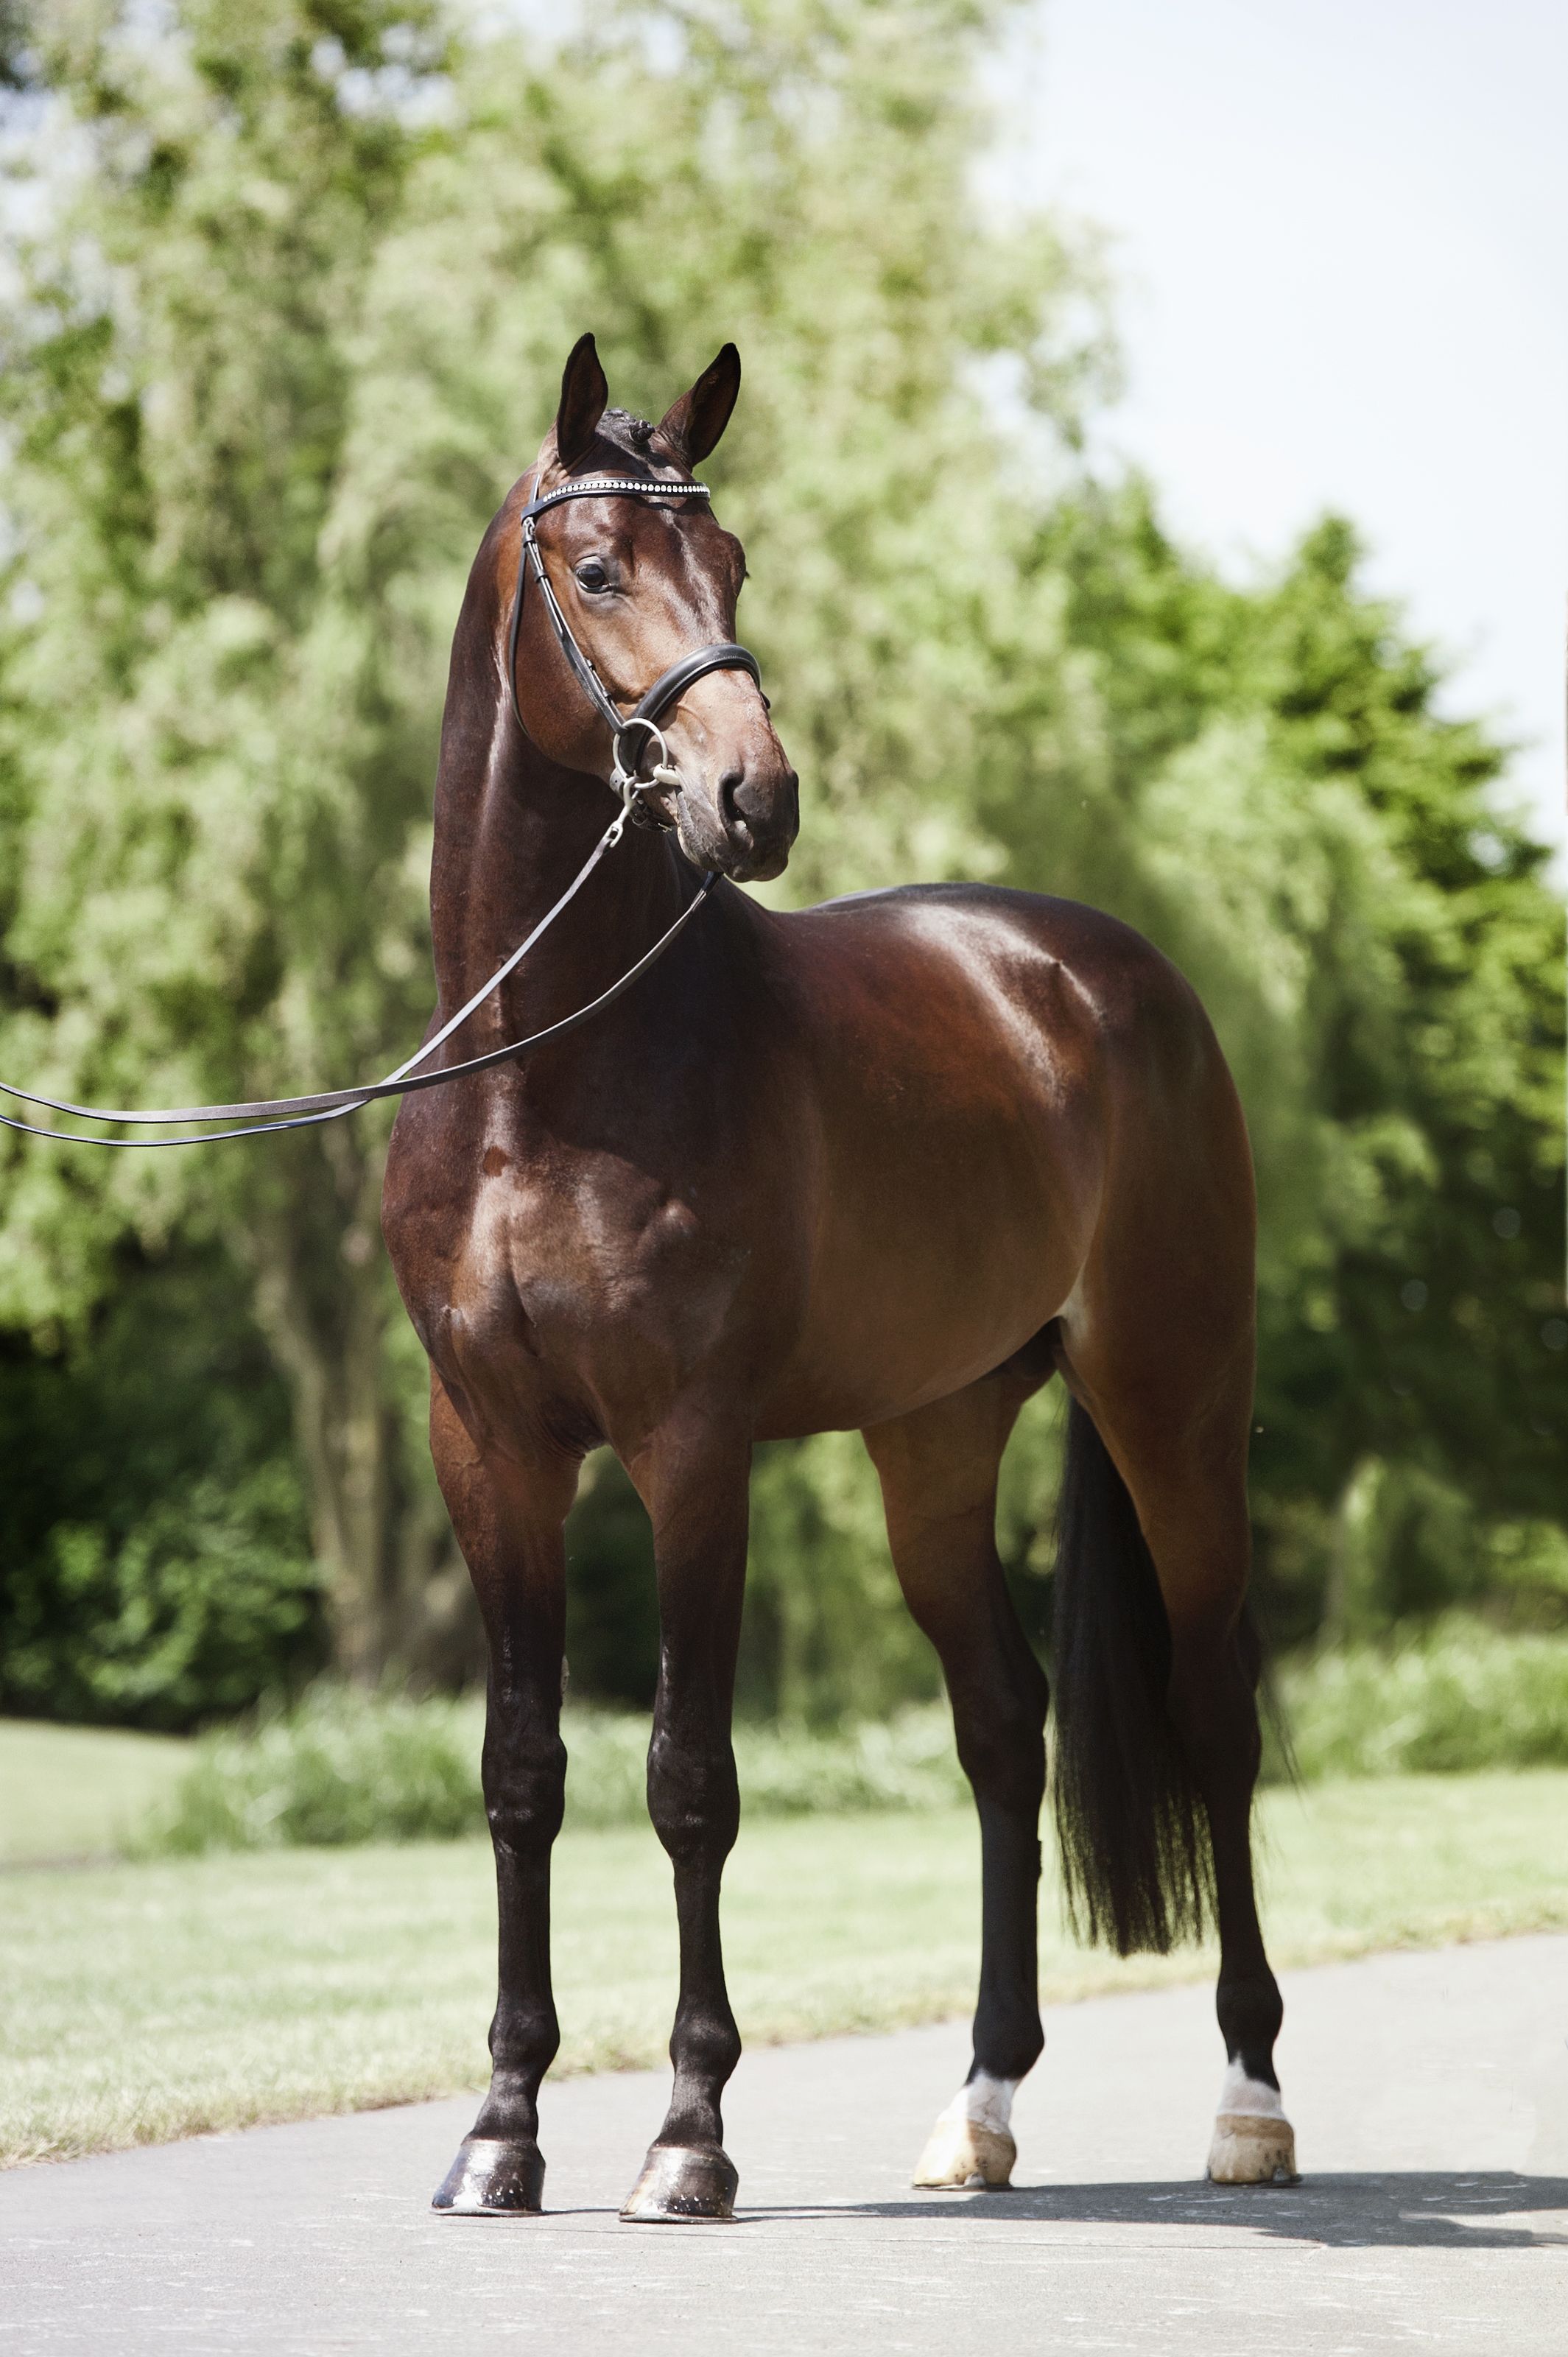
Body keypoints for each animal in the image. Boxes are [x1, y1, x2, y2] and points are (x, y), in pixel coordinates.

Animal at [381, 332, 1296, 2223]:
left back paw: (1248, 2104)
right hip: (933, 1444)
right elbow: (520, 1776)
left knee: (1212, 1712)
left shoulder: (688, 1447)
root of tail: (1114, 976)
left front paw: (684, 2134)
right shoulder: (487, 1446)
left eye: (730, 564)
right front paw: (500, 2133)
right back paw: (981, 2110)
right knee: (1004, 1730)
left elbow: (688, 1780)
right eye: (599, 569)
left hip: (1172, 1410)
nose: (755, 795)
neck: (540, 1079)